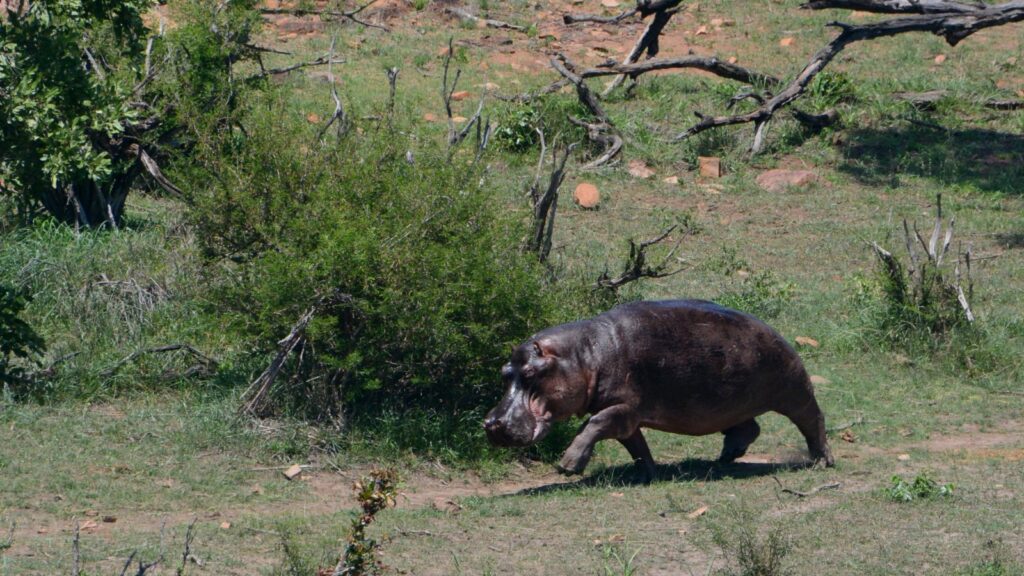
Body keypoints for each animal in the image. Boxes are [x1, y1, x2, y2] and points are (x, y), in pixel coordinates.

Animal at [484, 300, 833, 482]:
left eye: (531, 373)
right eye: (504, 373)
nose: (491, 423)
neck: (585, 354)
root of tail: (776, 331)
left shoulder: (624, 405)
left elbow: (593, 424)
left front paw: (567, 465)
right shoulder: (625, 414)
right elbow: (633, 443)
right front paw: (648, 473)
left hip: (793, 389)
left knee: (813, 419)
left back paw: (822, 461)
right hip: (734, 403)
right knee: (749, 427)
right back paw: (725, 457)